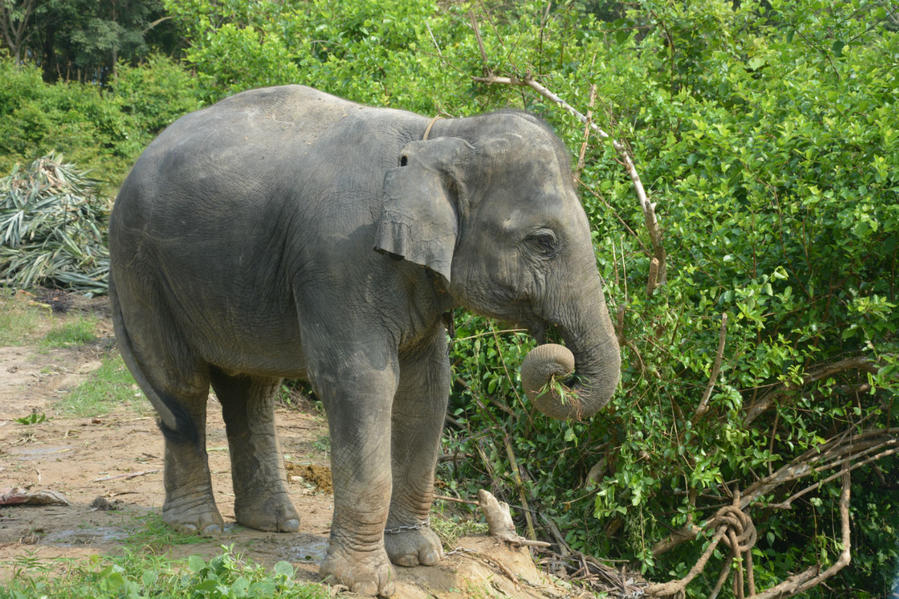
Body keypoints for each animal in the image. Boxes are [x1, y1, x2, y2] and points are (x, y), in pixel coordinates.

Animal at [109, 85, 624, 599]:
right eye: (543, 242)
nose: (558, 362)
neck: (441, 134)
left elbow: (427, 389)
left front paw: (418, 557)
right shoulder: (339, 259)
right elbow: (363, 382)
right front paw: (363, 581)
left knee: (250, 391)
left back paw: (272, 524)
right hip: (141, 269)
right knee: (182, 385)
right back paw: (197, 526)